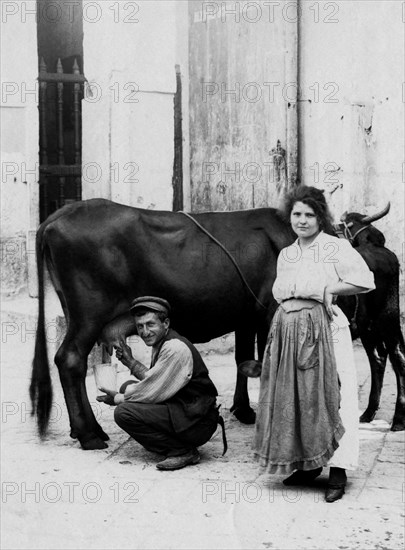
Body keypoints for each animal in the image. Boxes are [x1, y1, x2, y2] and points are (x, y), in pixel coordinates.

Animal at [30, 201, 404, 450]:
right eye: (372, 236)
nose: (383, 251)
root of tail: (60, 214)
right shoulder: (268, 311)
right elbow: (261, 361)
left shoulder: (246, 316)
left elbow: (243, 359)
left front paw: (244, 409)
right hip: (88, 315)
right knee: (70, 360)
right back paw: (90, 433)